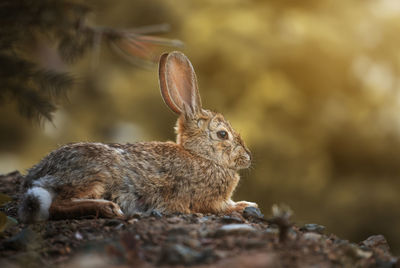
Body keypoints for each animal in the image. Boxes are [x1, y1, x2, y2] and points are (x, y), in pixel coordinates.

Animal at [18, 51, 256, 223]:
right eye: (222, 134)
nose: (248, 157)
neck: (201, 156)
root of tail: (38, 176)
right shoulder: (206, 200)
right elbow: (219, 207)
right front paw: (245, 205)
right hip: (95, 176)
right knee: (57, 205)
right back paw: (109, 208)